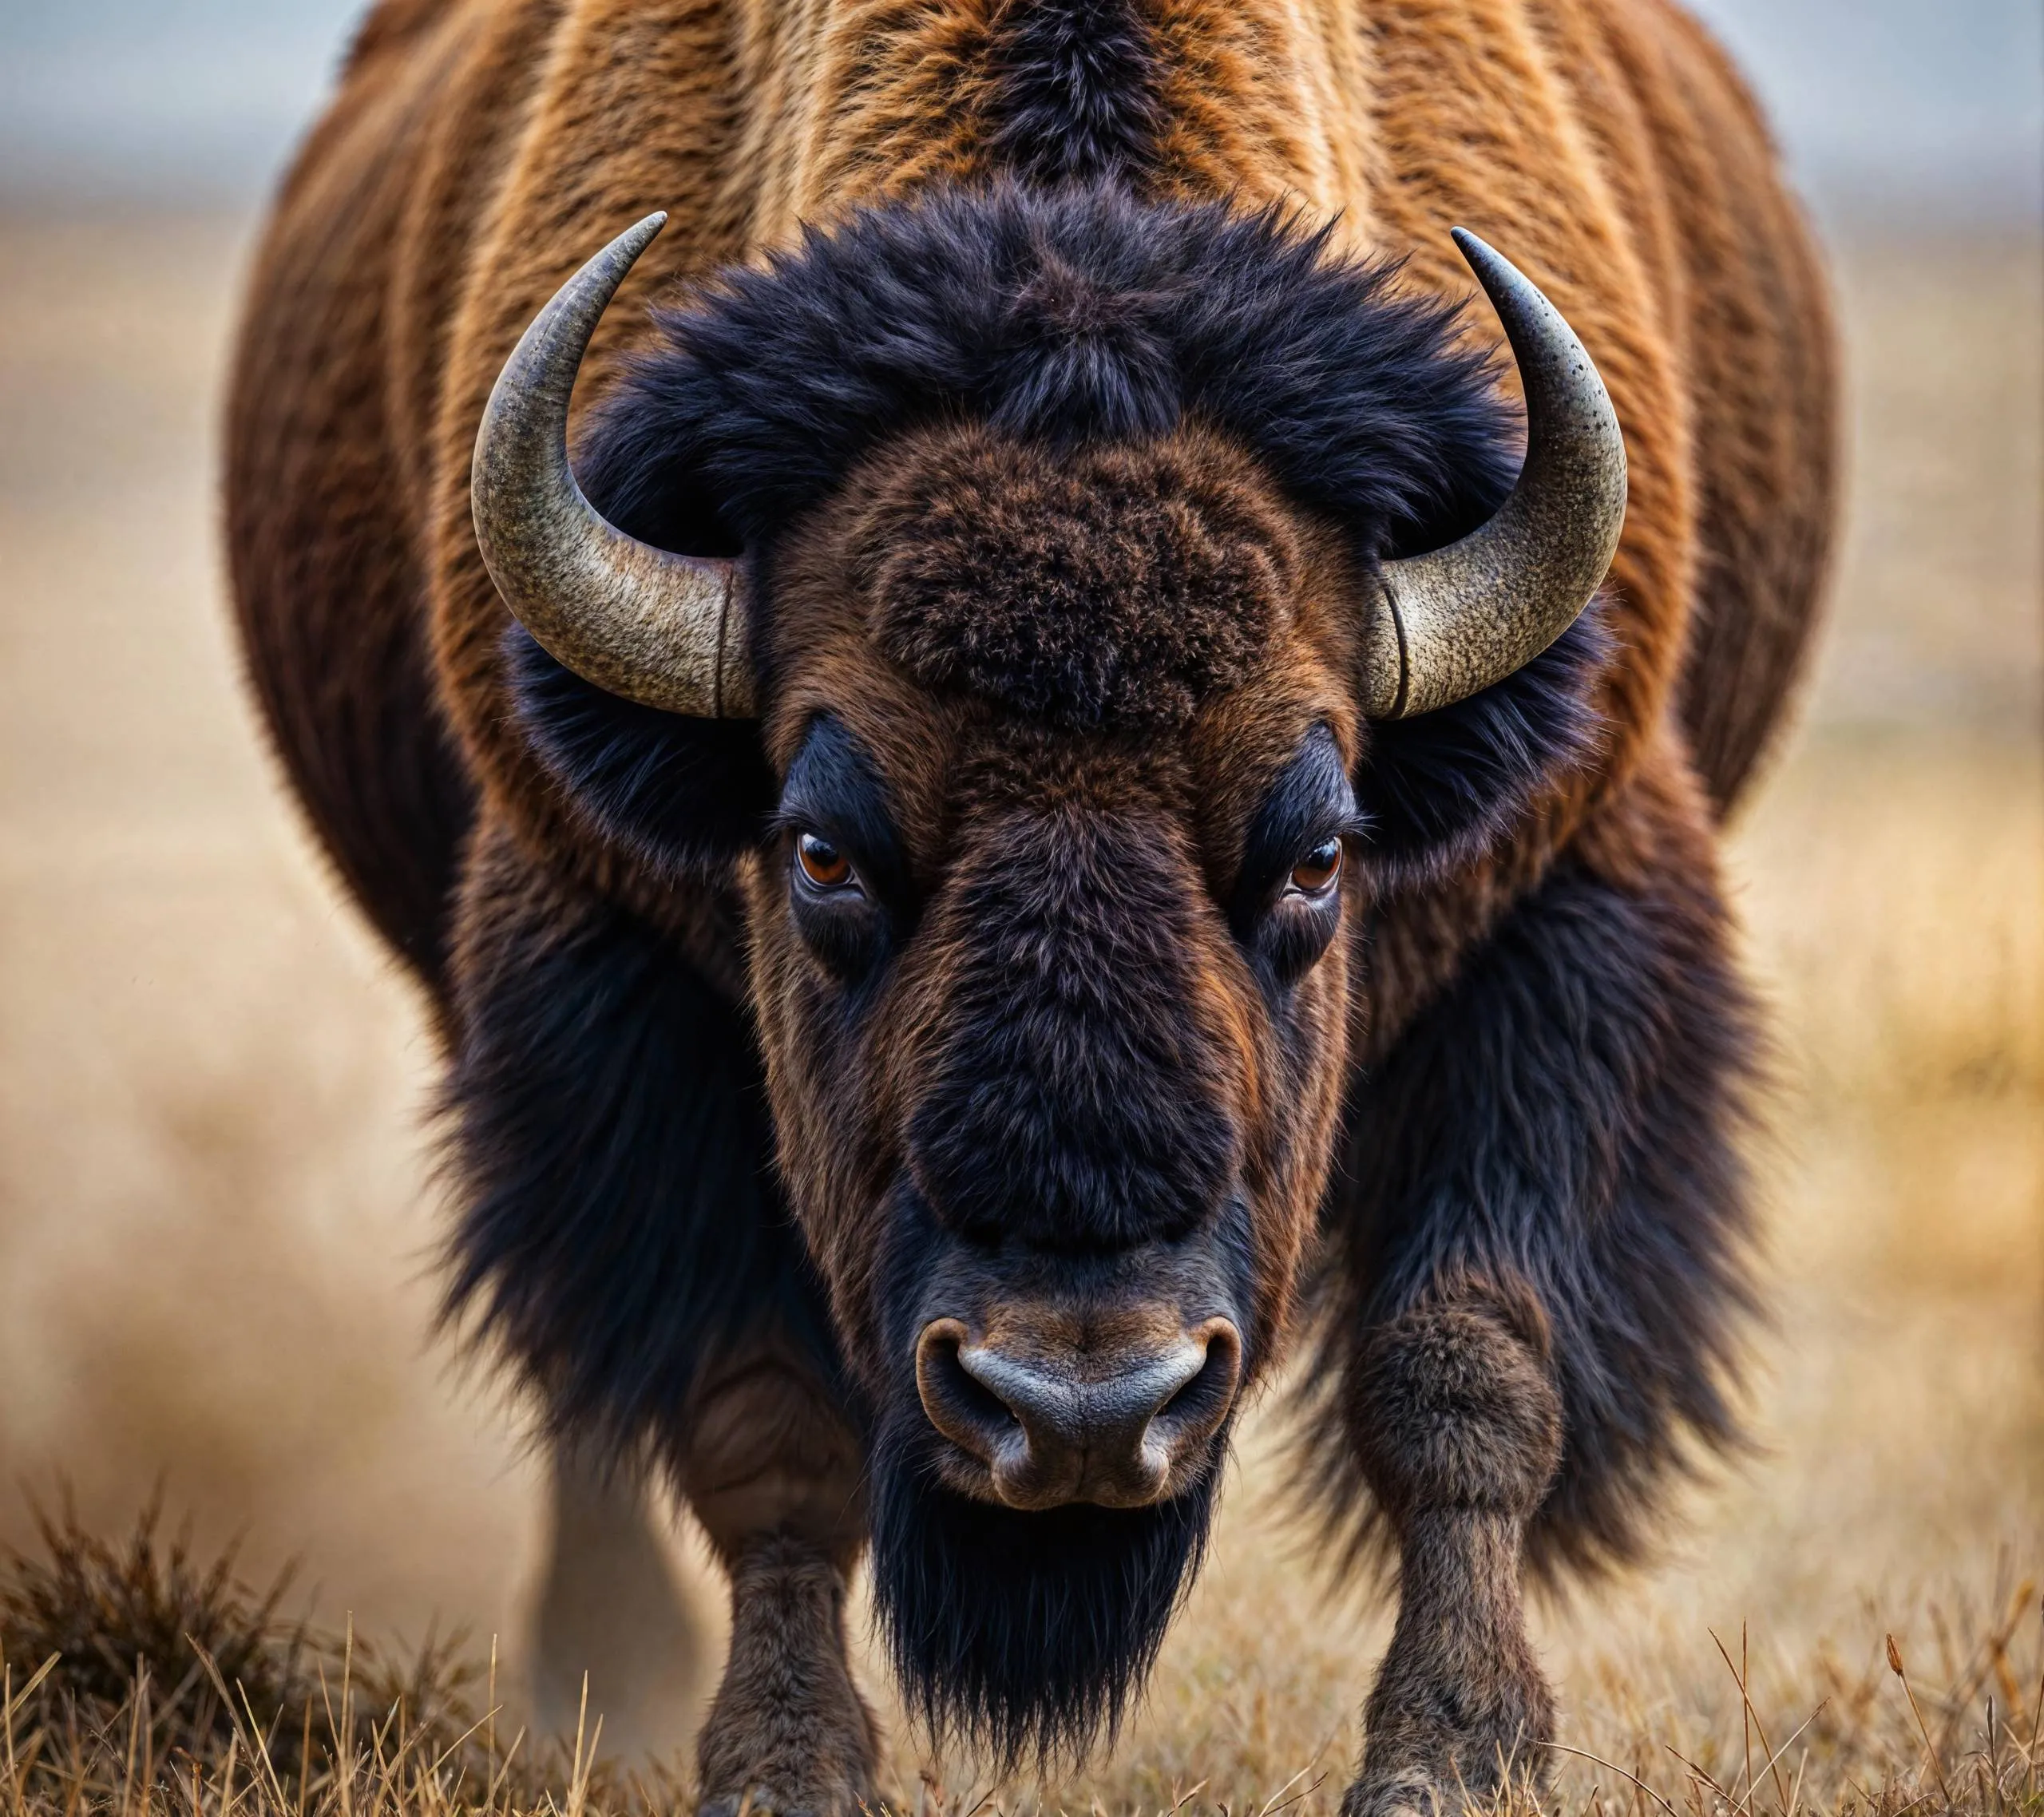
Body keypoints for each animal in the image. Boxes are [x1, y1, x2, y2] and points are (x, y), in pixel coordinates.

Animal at [226, 0, 1835, 1808]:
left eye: (1319, 851)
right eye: (819, 848)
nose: (1080, 1409)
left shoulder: (1562, 915)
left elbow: (1469, 1370)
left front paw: (1451, 1756)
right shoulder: (607, 976)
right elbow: (757, 1418)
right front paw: (783, 1763)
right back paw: (603, 1678)